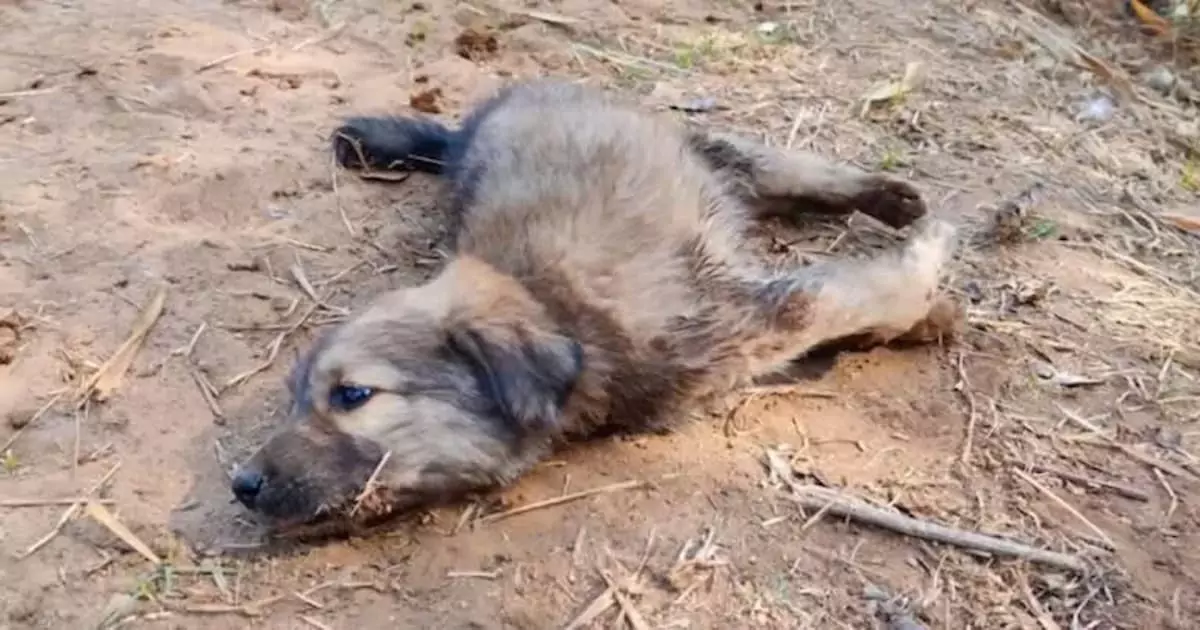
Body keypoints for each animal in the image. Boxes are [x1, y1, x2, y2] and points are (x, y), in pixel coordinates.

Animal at [229, 81, 960, 528]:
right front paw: (915, 315)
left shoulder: (757, 310)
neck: (554, 311)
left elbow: (856, 293)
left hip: (707, 152)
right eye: (294, 401)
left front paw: (924, 289)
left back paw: (889, 197)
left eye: (352, 395)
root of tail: (486, 117)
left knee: (784, 166)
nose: (241, 485)